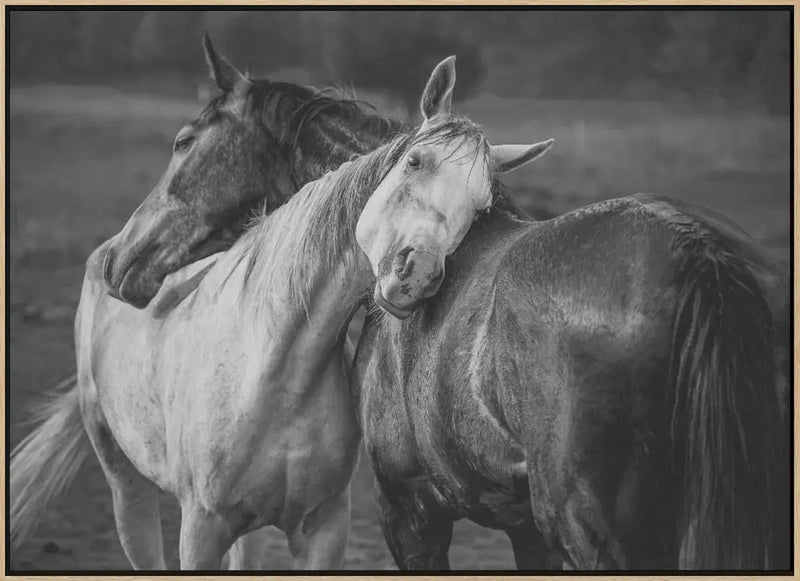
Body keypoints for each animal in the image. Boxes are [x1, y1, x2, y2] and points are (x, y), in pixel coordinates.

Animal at [9, 56, 548, 568]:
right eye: (414, 161)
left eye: (480, 205)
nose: (415, 273)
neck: (275, 367)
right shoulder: (201, 528)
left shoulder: (328, 528)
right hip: (126, 486)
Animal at [354, 60, 792, 572]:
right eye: (414, 162)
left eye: (480, 205)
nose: (417, 275)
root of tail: (695, 247)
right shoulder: (525, 530)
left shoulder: (410, 511)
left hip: (583, 524)